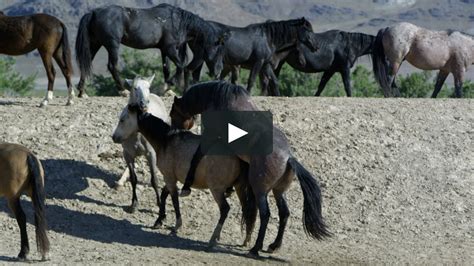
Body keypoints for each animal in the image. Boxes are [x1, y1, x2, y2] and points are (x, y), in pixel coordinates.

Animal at [76, 4, 228, 97]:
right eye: (219, 51)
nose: (218, 72)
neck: (177, 22)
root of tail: (94, 12)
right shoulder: (170, 48)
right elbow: (180, 65)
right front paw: (168, 86)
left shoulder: (164, 50)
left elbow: (166, 68)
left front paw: (169, 90)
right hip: (112, 45)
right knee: (112, 66)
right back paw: (123, 90)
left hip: (95, 44)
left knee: (85, 64)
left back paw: (82, 92)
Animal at [110, 76, 167, 213]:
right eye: (135, 88)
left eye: (148, 87)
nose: (114, 137)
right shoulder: (128, 155)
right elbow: (133, 179)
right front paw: (134, 203)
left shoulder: (151, 154)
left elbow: (154, 180)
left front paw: (159, 204)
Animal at [169, 81, 330, 258]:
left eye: (172, 114)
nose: (174, 131)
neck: (217, 98)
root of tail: (288, 158)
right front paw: (229, 189)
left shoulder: (210, 137)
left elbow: (197, 157)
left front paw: (186, 187)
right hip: (278, 191)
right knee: (284, 213)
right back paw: (273, 245)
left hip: (260, 190)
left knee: (266, 214)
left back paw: (255, 248)